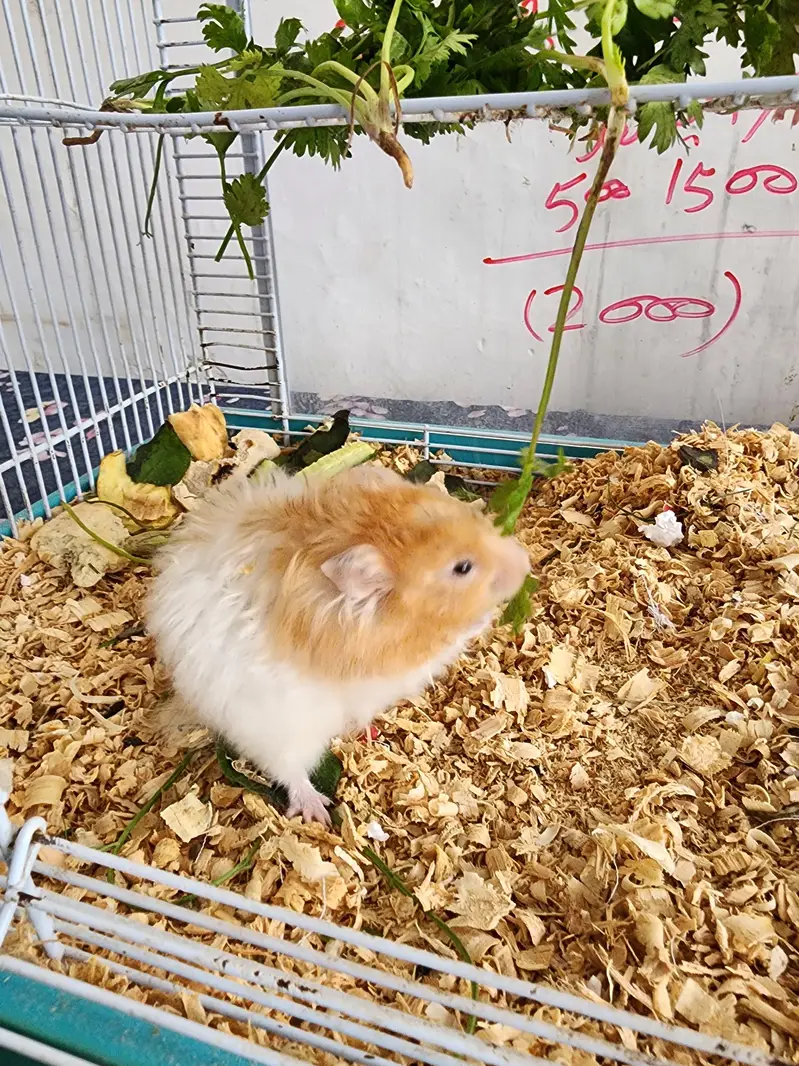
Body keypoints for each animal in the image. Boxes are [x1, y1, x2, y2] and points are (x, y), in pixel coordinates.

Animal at [146, 464, 529, 824]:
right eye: (462, 567)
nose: (525, 564)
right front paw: (485, 617)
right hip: (276, 728)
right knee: (289, 770)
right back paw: (317, 810)